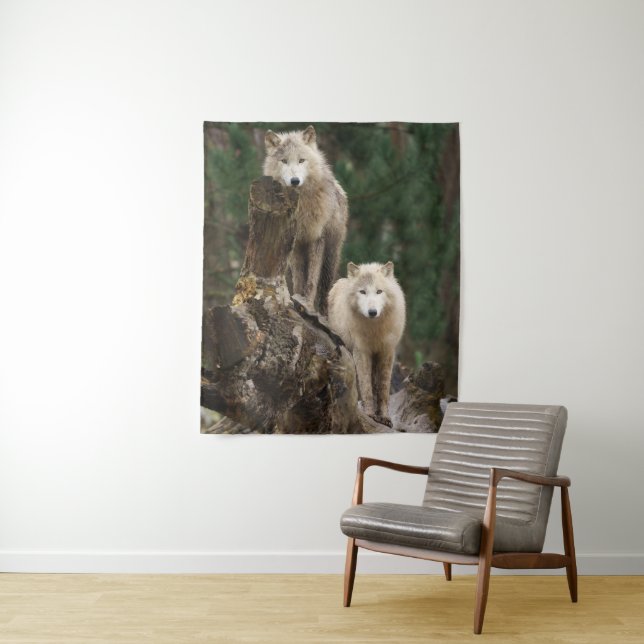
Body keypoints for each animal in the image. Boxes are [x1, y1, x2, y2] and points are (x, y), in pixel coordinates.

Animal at [263, 125, 348, 314]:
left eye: (301, 160)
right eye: (284, 161)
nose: (295, 181)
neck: (301, 206)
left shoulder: (317, 238)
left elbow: (312, 280)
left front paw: (307, 304)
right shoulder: (296, 243)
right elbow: (299, 279)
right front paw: (297, 301)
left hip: (330, 256)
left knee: (325, 286)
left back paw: (324, 314)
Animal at [327, 261, 406, 426]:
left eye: (379, 291)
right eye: (362, 292)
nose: (372, 312)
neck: (375, 330)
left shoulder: (386, 351)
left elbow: (383, 389)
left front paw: (384, 417)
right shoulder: (362, 351)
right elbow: (366, 386)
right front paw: (369, 414)